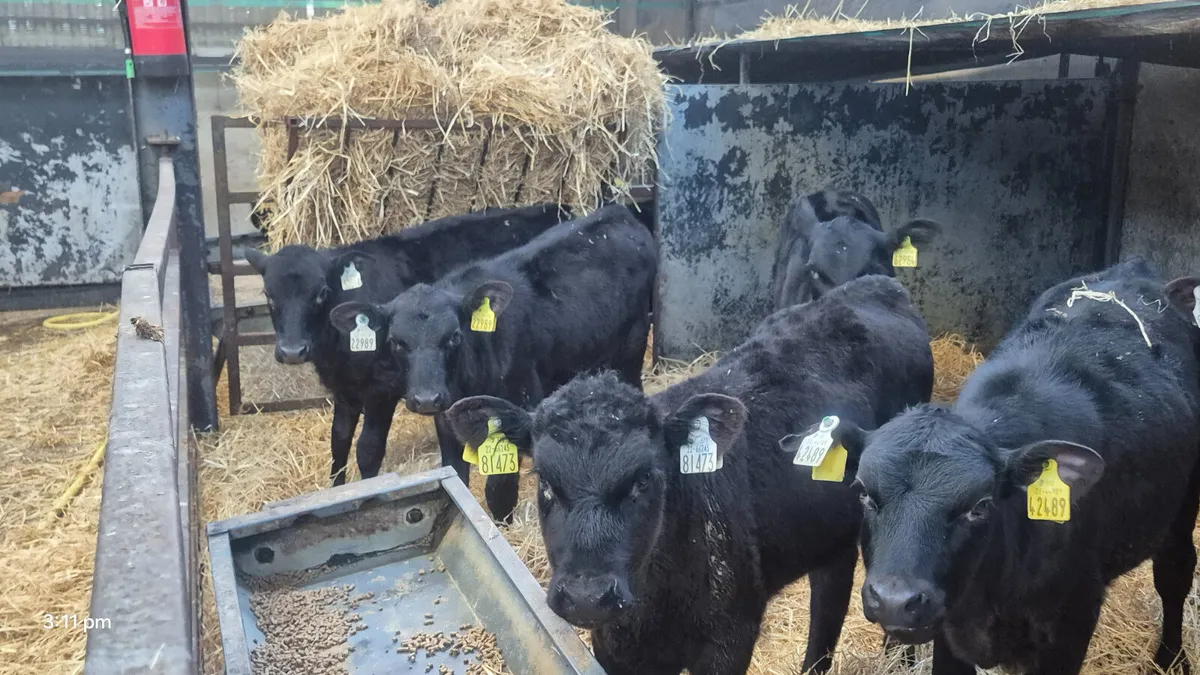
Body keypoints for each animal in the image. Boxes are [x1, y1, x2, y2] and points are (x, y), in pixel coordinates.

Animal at [243, 203, 569, 488]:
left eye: (321, 293)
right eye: (268, 294)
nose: (292, 351)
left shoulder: (382, 389)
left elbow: (368, 449)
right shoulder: (345, 389)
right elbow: (339, 441)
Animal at [328, 204, 656, 523]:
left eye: (454, 336)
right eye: (397, 341)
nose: (426, 398)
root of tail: (617, 212)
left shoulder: (514, 409)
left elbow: (500, 488)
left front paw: (502, 526)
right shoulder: (447, 419)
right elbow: (456, 473)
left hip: (632, 346)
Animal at [442, 275, 934, 675]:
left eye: (645, 479)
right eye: (544, 481)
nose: (586, 595)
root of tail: (879, 285)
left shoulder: (730, 636)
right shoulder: (614, 646)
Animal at [831, 258, 1200, 675]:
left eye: (980, 506)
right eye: (864, 493)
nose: (896, 600)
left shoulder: (1073, 617)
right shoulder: (952, 629)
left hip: (1182, 506)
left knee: (1174, 573)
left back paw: (1171, 658)